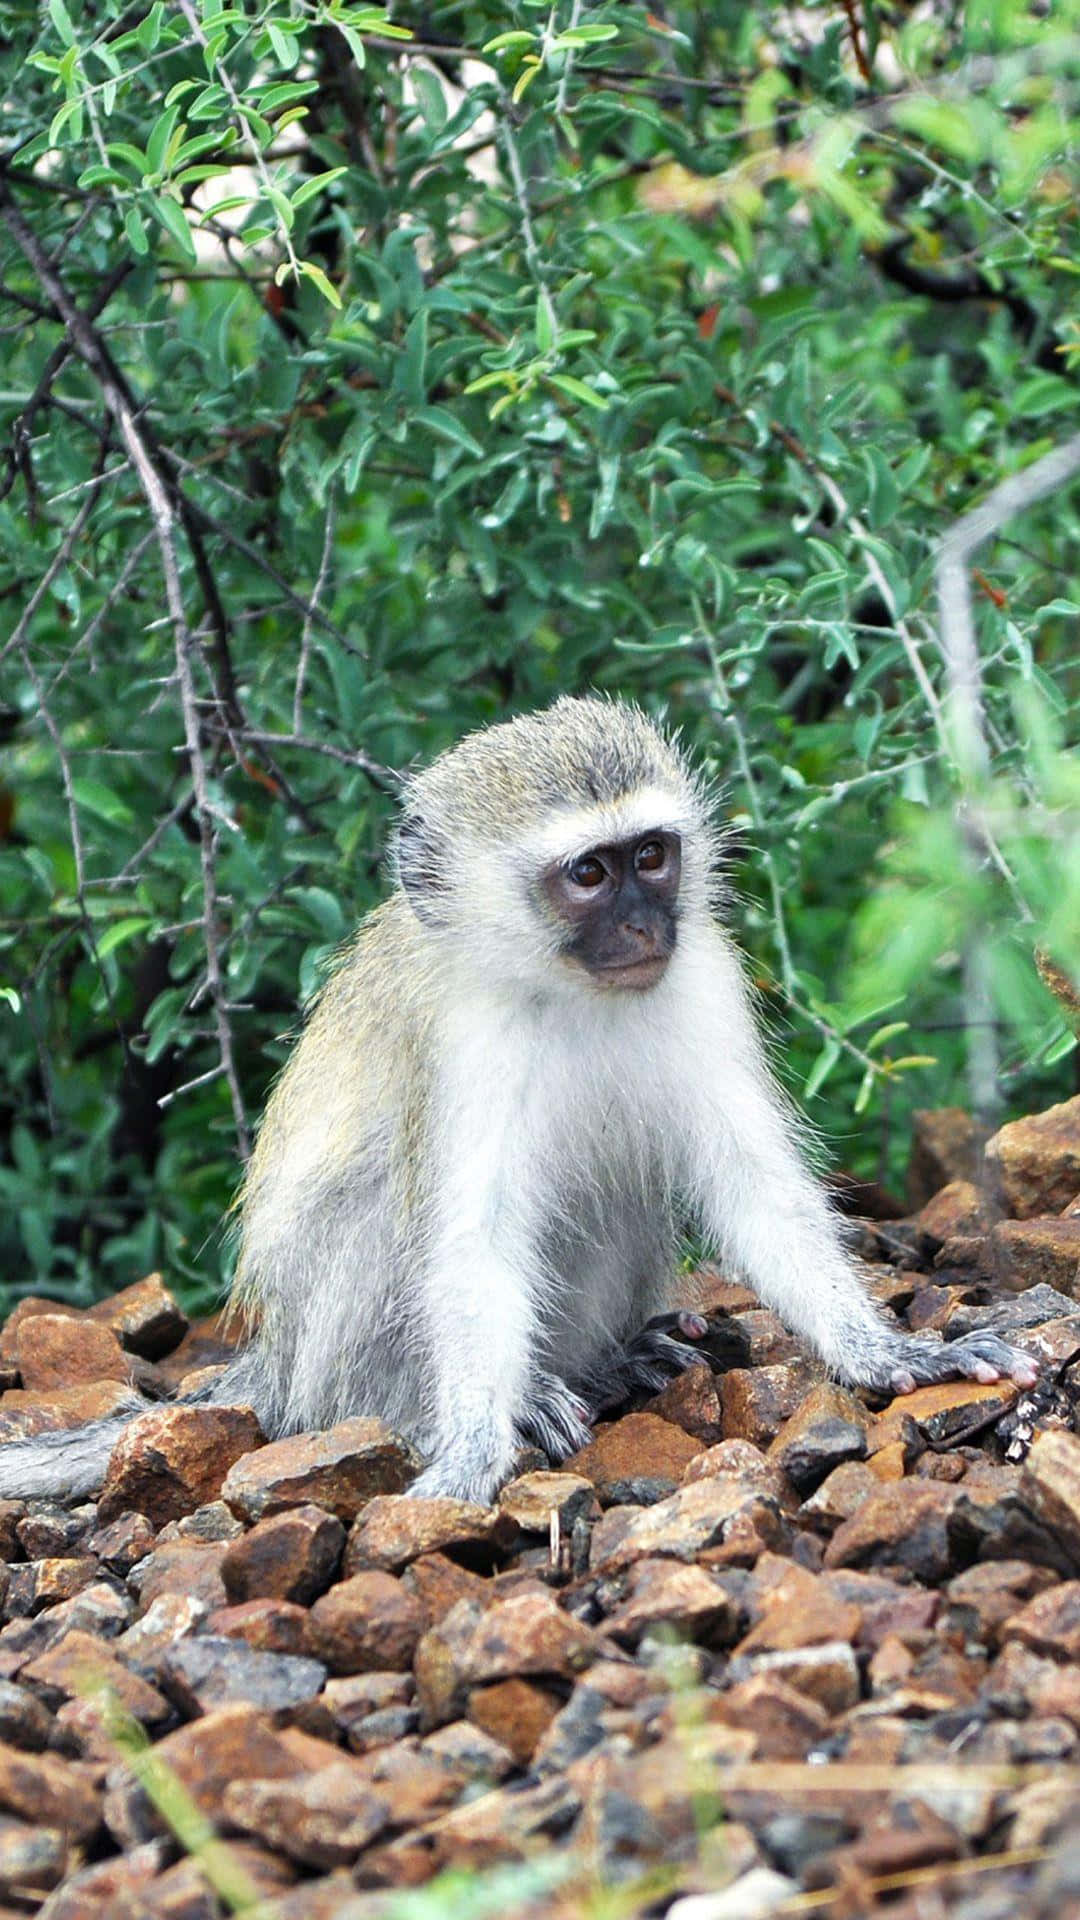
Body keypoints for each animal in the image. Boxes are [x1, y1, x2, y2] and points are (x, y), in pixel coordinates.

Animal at [0, 698, 1030, 1505]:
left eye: (651, 856)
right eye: (590, 874)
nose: (645, 927)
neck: (565, 992)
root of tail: (279, 1362)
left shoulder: (701, 974)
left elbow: (750, 1180)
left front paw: (886, 1356)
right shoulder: (464, 1042)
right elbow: (472, 1237)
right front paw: (470, 1451)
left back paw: (609, 1362)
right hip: (321, 1355)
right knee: (386, 1215)